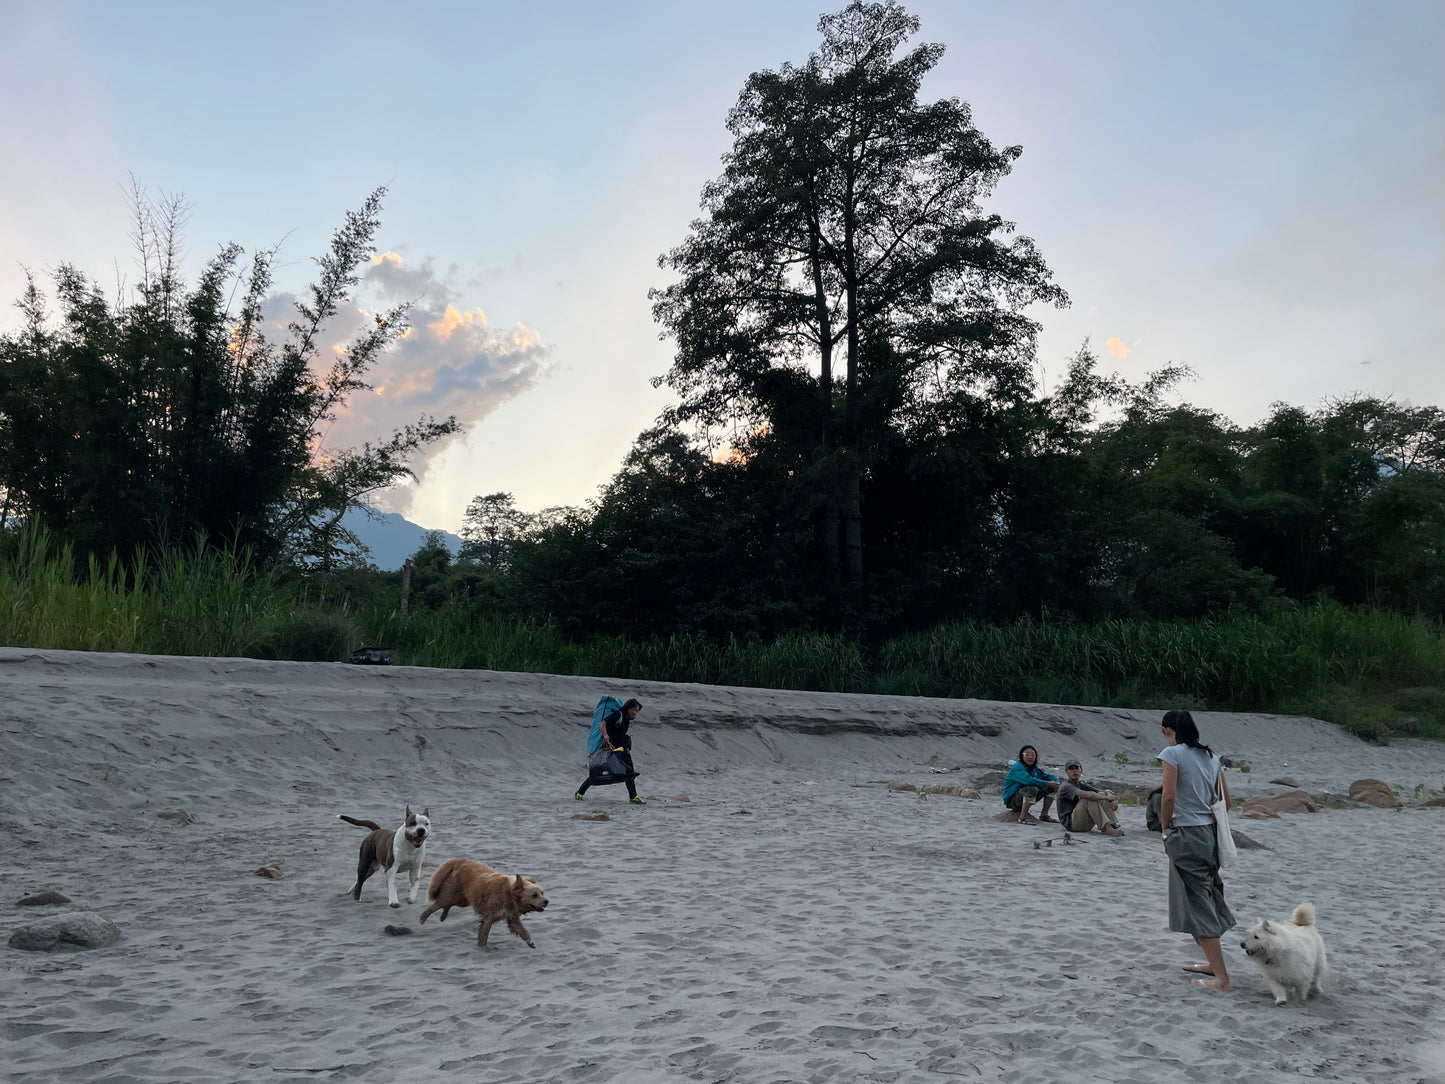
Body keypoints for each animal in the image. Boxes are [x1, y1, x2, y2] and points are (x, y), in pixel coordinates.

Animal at [421, 855, 551, 948]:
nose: (547, 901)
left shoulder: (512, 917)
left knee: (446, 906)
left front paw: (531, 943)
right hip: (452, 896)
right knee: (433, 907)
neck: (509, 893)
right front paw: (482, 948)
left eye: (542, 893)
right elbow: (483, 937)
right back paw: (422, 920)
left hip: (463, 900)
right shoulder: (488, 918)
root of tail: (461, 860)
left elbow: (524, 932)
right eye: (534, 895)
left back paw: (443, 916)